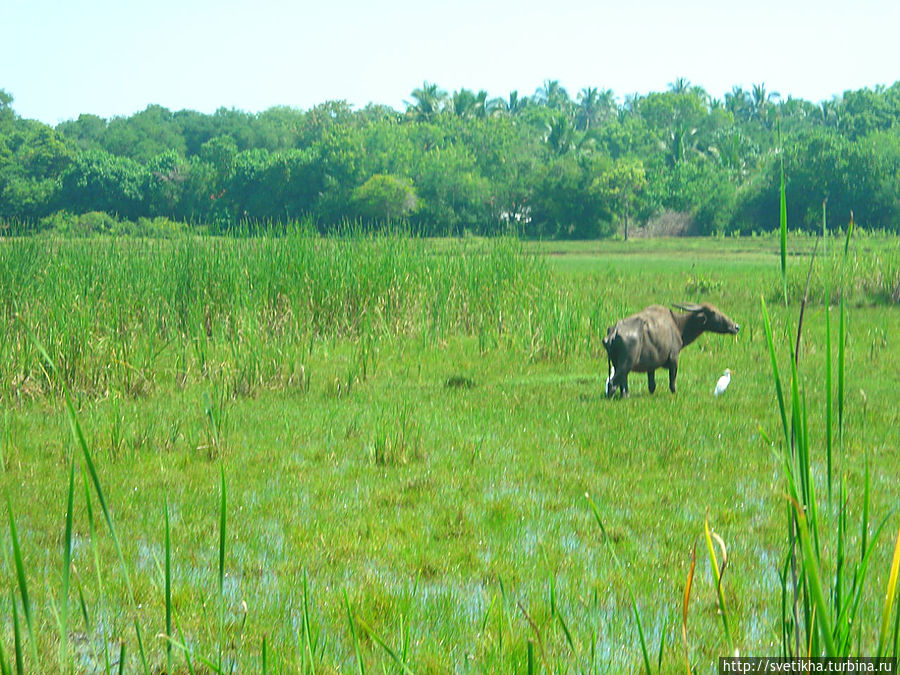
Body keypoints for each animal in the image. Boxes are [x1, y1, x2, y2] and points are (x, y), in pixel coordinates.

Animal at [600, 302, 740, 396]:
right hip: (625, 364)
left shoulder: (651, 365)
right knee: (613, 383)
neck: (678, 325)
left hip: (617, 364)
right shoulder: (674, 359)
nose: (736, 326)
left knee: (622, 383)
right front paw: (674, 393)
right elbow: (672, 381)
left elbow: (652, 385)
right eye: (714, 313)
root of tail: (614, 330)